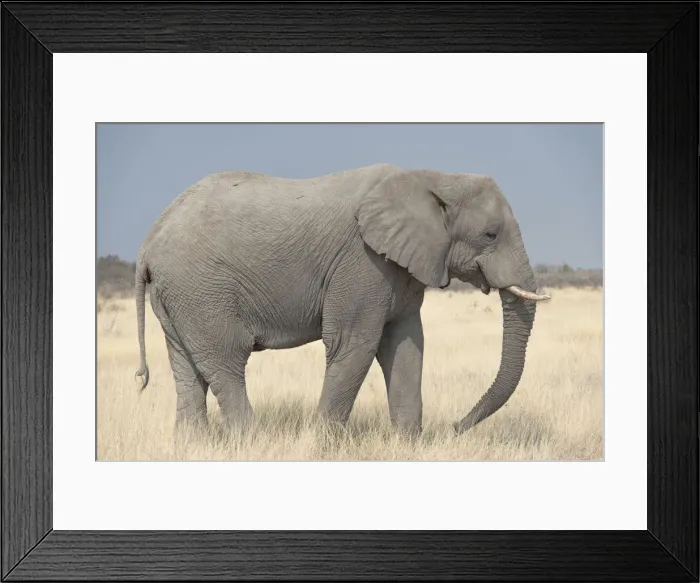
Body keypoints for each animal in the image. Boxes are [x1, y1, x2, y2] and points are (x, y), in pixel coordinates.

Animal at [134, 163, 549, 436]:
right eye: (490, 234)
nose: (452, 427)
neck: (434, 178)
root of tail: (149, 241)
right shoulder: (361, 262)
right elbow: (355, 345)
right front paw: (322, 445)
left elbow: (405, 344)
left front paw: (408, 444)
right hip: (202, 289)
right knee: (227, 361)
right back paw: (251, 441)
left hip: (180, 295)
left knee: (187, 367)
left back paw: (192, 445)